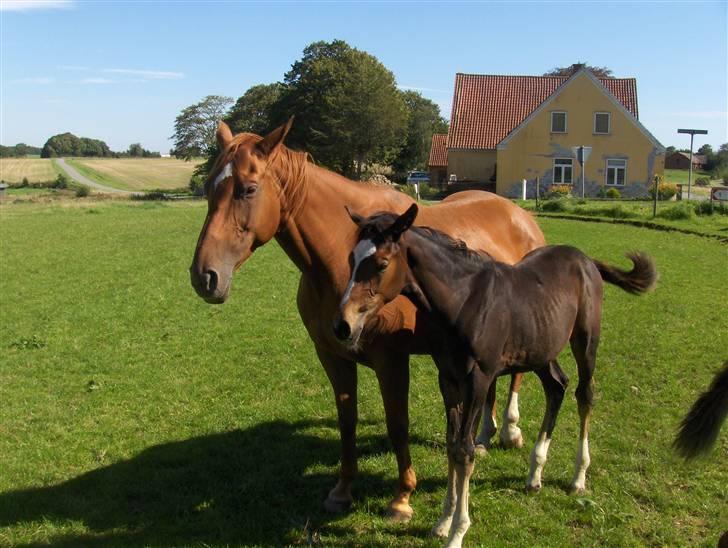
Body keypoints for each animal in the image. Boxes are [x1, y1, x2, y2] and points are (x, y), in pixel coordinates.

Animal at [191, 119, 544, 520]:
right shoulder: (333, 356)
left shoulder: (392, 361)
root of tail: (519, 215)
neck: (340, 257)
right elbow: (348, 421)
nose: (204, 276)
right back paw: (484, 436)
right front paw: (342, 490)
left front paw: (402, 497)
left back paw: (510, 432)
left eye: (248, 189)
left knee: (516, 376)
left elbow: (397, 424)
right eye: (209, 187)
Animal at [338, 206, 656, 548]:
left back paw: (577, 477)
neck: (463, 302)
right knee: (556, 386)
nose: (342, 326)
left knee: (584, 394)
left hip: (585, 341)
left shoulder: (478, 379)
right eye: (351, 259)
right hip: (541, 348)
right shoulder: (448, 378)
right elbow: (451, 444)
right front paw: (443, 521)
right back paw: (534, 475)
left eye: (382, 263)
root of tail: (586, 260)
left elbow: (465, 450)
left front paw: (457, 532)